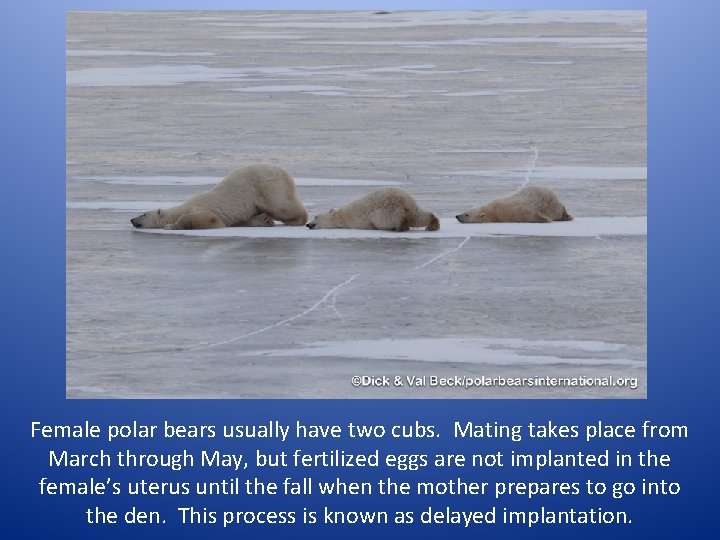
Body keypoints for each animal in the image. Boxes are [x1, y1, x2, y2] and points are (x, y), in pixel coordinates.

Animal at [131, 163, 308, 229]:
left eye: (143, 213)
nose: (132, 219)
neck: (181, 208)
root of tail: (283, 171)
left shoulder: (197, 208)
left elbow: (209, 218)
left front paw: (171, 226)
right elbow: (244, 220)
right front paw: (264, 221)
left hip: (266, 185)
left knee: (282, 206)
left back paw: (297, 220)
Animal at [304, 188, 438, 232]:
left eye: (315, 216)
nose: (308, 224)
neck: (342, 216)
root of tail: (404, 201)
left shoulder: (357, 219)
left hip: (386, 210)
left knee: (387, 220)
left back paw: (399, 227)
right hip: (412, 206)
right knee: (419, 216)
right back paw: (432, 225)